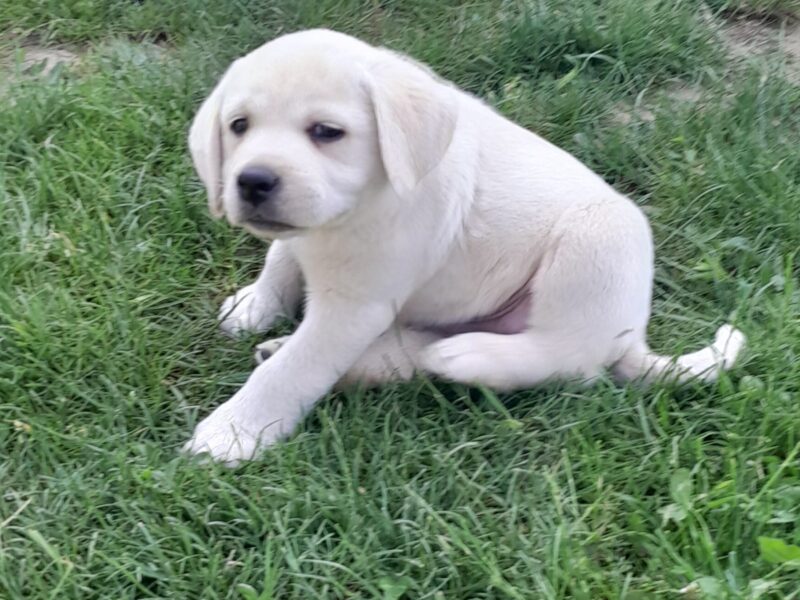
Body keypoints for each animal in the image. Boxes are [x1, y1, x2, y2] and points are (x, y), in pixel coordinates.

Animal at [184, 28, 748, 464]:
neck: (355, 211)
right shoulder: (306, 238)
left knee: (571, 359)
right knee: (415, 352)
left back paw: (467, 357)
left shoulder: (355, 305)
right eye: (238, 126)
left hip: (599, 241)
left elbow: (295, 369)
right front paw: (258, 305)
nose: (253, 181)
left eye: (326, 131)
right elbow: (281, 258)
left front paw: (234, 431)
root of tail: (633, 339)